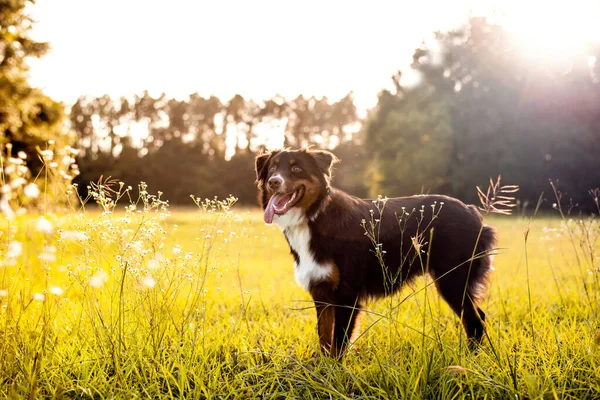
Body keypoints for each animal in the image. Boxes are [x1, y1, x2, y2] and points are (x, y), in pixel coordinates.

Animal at [254, 148, 496, 358]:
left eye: (296, 168)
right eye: (272, 168)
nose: (274, 181)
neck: (315, 215)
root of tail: (473, 212)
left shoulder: (347, 293)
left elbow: (338, 342)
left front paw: (334, 370)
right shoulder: (321, 290)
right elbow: (324, 336)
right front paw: (321, 368)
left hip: (453, 280)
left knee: (475, 321)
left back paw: (469, 360)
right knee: (478, 317)